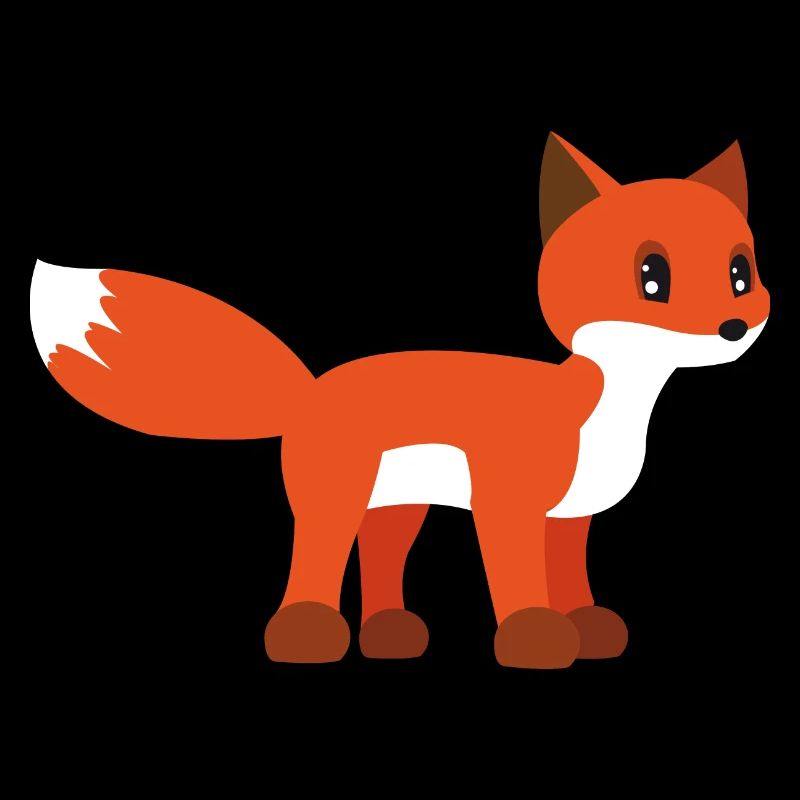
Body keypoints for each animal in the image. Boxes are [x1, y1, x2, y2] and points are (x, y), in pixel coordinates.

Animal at [30, 133, 769, 669]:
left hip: (398, 503)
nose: (735, 327)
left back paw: (389, 635)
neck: (608, 403)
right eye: (651, 276)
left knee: (380, 557)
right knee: (317, 555)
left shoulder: (570, 515)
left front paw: (584, 626)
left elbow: (570, 575)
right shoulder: (508, 503)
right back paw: (306, 634)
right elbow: (520, 577)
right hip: (336, 495)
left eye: (741, 272)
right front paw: (535, 636)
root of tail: (312, 386)